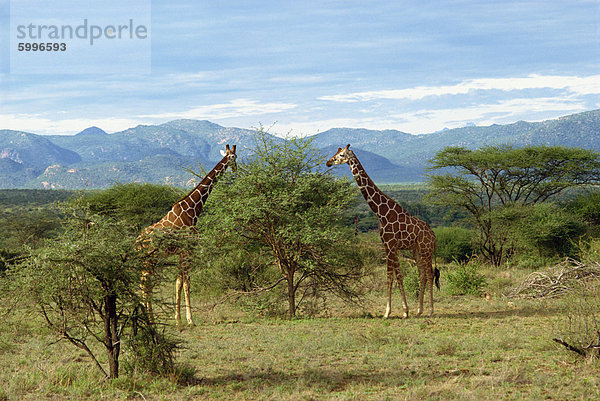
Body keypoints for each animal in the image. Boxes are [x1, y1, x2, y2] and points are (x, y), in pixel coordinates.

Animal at [138, 144, 237, 324]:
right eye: (234, 157)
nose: (235, 168)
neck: (192, 211)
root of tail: (136, 242)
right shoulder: (188, 250)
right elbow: (187, 282)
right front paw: (190, 319)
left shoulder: (181, 252)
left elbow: (178, 282)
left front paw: (177, 318)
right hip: (149, 259)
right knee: (144, 283)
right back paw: (149, 318)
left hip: (149, 259)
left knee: (145, 283)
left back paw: (150, 317)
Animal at [326, 145, 438, 318]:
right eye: (336, 153)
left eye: (342, 155)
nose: (328, 162)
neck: (380, 212)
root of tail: (433, 236)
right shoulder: (389, 246)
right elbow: (396, 277)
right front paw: (401, 311)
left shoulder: (390, 245)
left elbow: (392, 277)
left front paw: (392, 312)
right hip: (416, 250)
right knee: (423, 274)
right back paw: (419, 311)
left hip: (426, 249)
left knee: (430, 273)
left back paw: (431, 311)